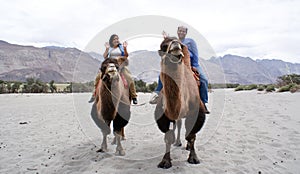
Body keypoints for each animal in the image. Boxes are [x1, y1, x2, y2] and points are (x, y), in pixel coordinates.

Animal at [155, 36, 206, 169]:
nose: (175, 45)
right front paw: (165, 161)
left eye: (181, 45)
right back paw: (177, 142)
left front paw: (193, 158)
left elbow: (191, 136)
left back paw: (186, 146)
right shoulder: (163, 115)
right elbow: (168, 137)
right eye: (163, 46)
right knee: (178, 124)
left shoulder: (197, 113)